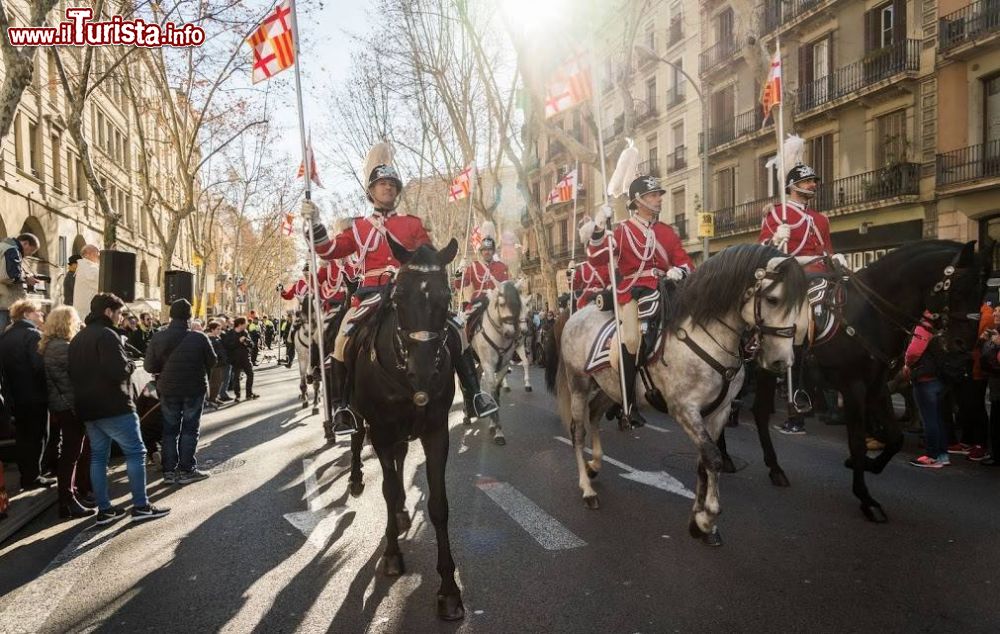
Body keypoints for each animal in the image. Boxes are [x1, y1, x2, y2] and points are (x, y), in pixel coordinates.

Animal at [340, 236, 464, 616]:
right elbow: (389, 488)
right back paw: (356, 480)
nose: (422, 372)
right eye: (398, 298)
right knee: (357, 440)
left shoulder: (436, 432)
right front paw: (393, 554)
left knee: (399, 457)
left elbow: (438, 504)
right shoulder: (380, 431)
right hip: (361, 416)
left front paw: (449, 588)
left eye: (446, 297)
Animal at [466, 278, 528, 442]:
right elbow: (493, 390)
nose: (511, 333)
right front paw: (497, 429)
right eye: (501, 304)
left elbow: (497, 393)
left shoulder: (504, 365)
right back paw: (467, 414)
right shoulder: (489, 365)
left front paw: (494, 425)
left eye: (518, 305)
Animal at [544, 244, 808, 544]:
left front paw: (699, 522)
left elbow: (704, 462)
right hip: (579, 383)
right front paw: (707, 519)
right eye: (773, 299)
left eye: (801, 303)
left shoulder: (718, 412)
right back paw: (587, 489)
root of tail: (574, 315)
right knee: (577, 431)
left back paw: (595, 464)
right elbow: (713, 458)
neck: (708, 336)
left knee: (595, 416)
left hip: (610, 387)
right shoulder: (685, 410)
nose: (781, 362)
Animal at [724, 239, 988, 520]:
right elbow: (858, 441)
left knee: (758, 411)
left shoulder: (877, 388)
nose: (963, 346)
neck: (871, 314)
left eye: (983, 291)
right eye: (960, 288)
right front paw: (865, 497)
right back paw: (728, 458)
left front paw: (868, 465)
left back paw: (773, 467)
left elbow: (895, 437)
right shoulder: (854, 389)